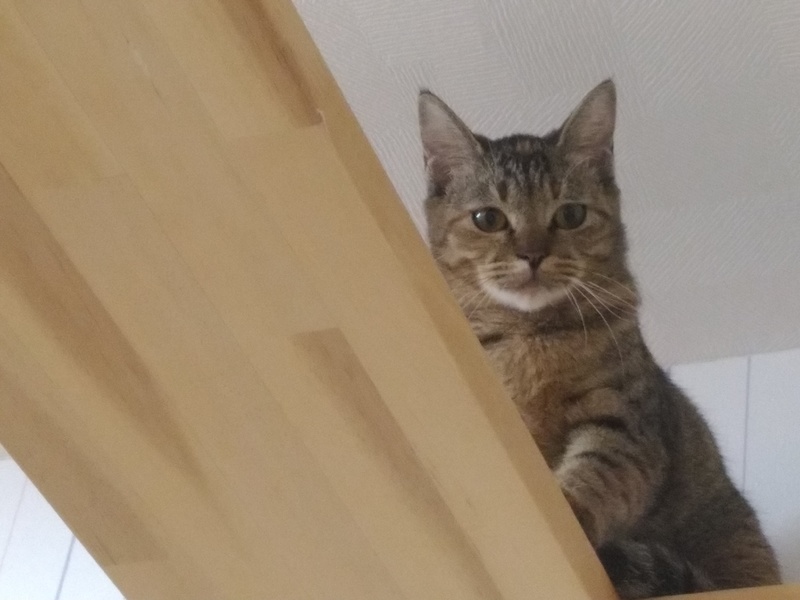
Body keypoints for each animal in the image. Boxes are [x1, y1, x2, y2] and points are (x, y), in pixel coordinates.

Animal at [418, 80, 780, 598]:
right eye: (488, 218)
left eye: (570, 214)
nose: (532, 254)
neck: (531, 335)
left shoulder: (623, 422)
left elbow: (596, 475)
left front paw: (570, 504)